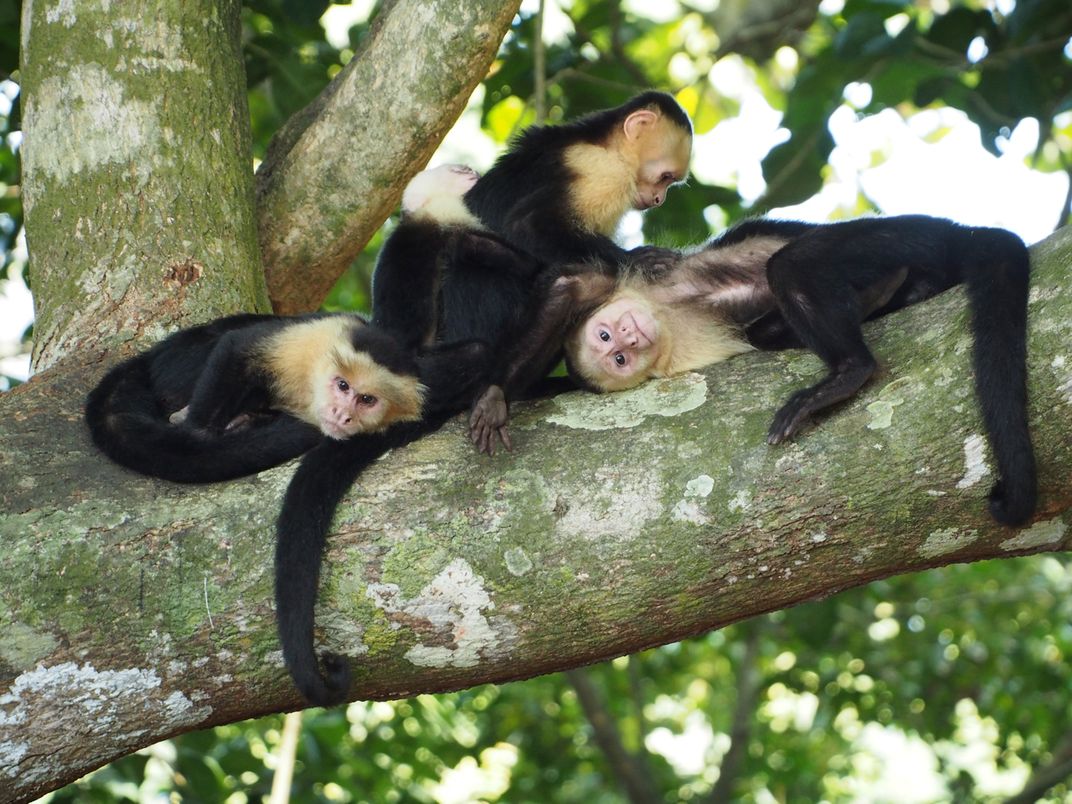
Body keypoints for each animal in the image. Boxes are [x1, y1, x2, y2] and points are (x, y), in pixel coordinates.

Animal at [85, 312, 486, 483]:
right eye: (342, 386)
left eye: (367, 401)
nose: (342, 414)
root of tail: (147, 359)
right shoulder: (312, 340)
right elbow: (238, 348)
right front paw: (196, 438)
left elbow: (471, 355)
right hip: (181, 364)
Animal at [481, 214, 1035, 526]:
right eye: (617, 357)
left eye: (608, 338)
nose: (629, 338)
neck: (663, 322)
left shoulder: (605, 284)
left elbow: (566, 287)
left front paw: (492, 396)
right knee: (773, 320)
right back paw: (885, 305)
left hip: (900, 235)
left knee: (794, 261)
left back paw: (851, 364)